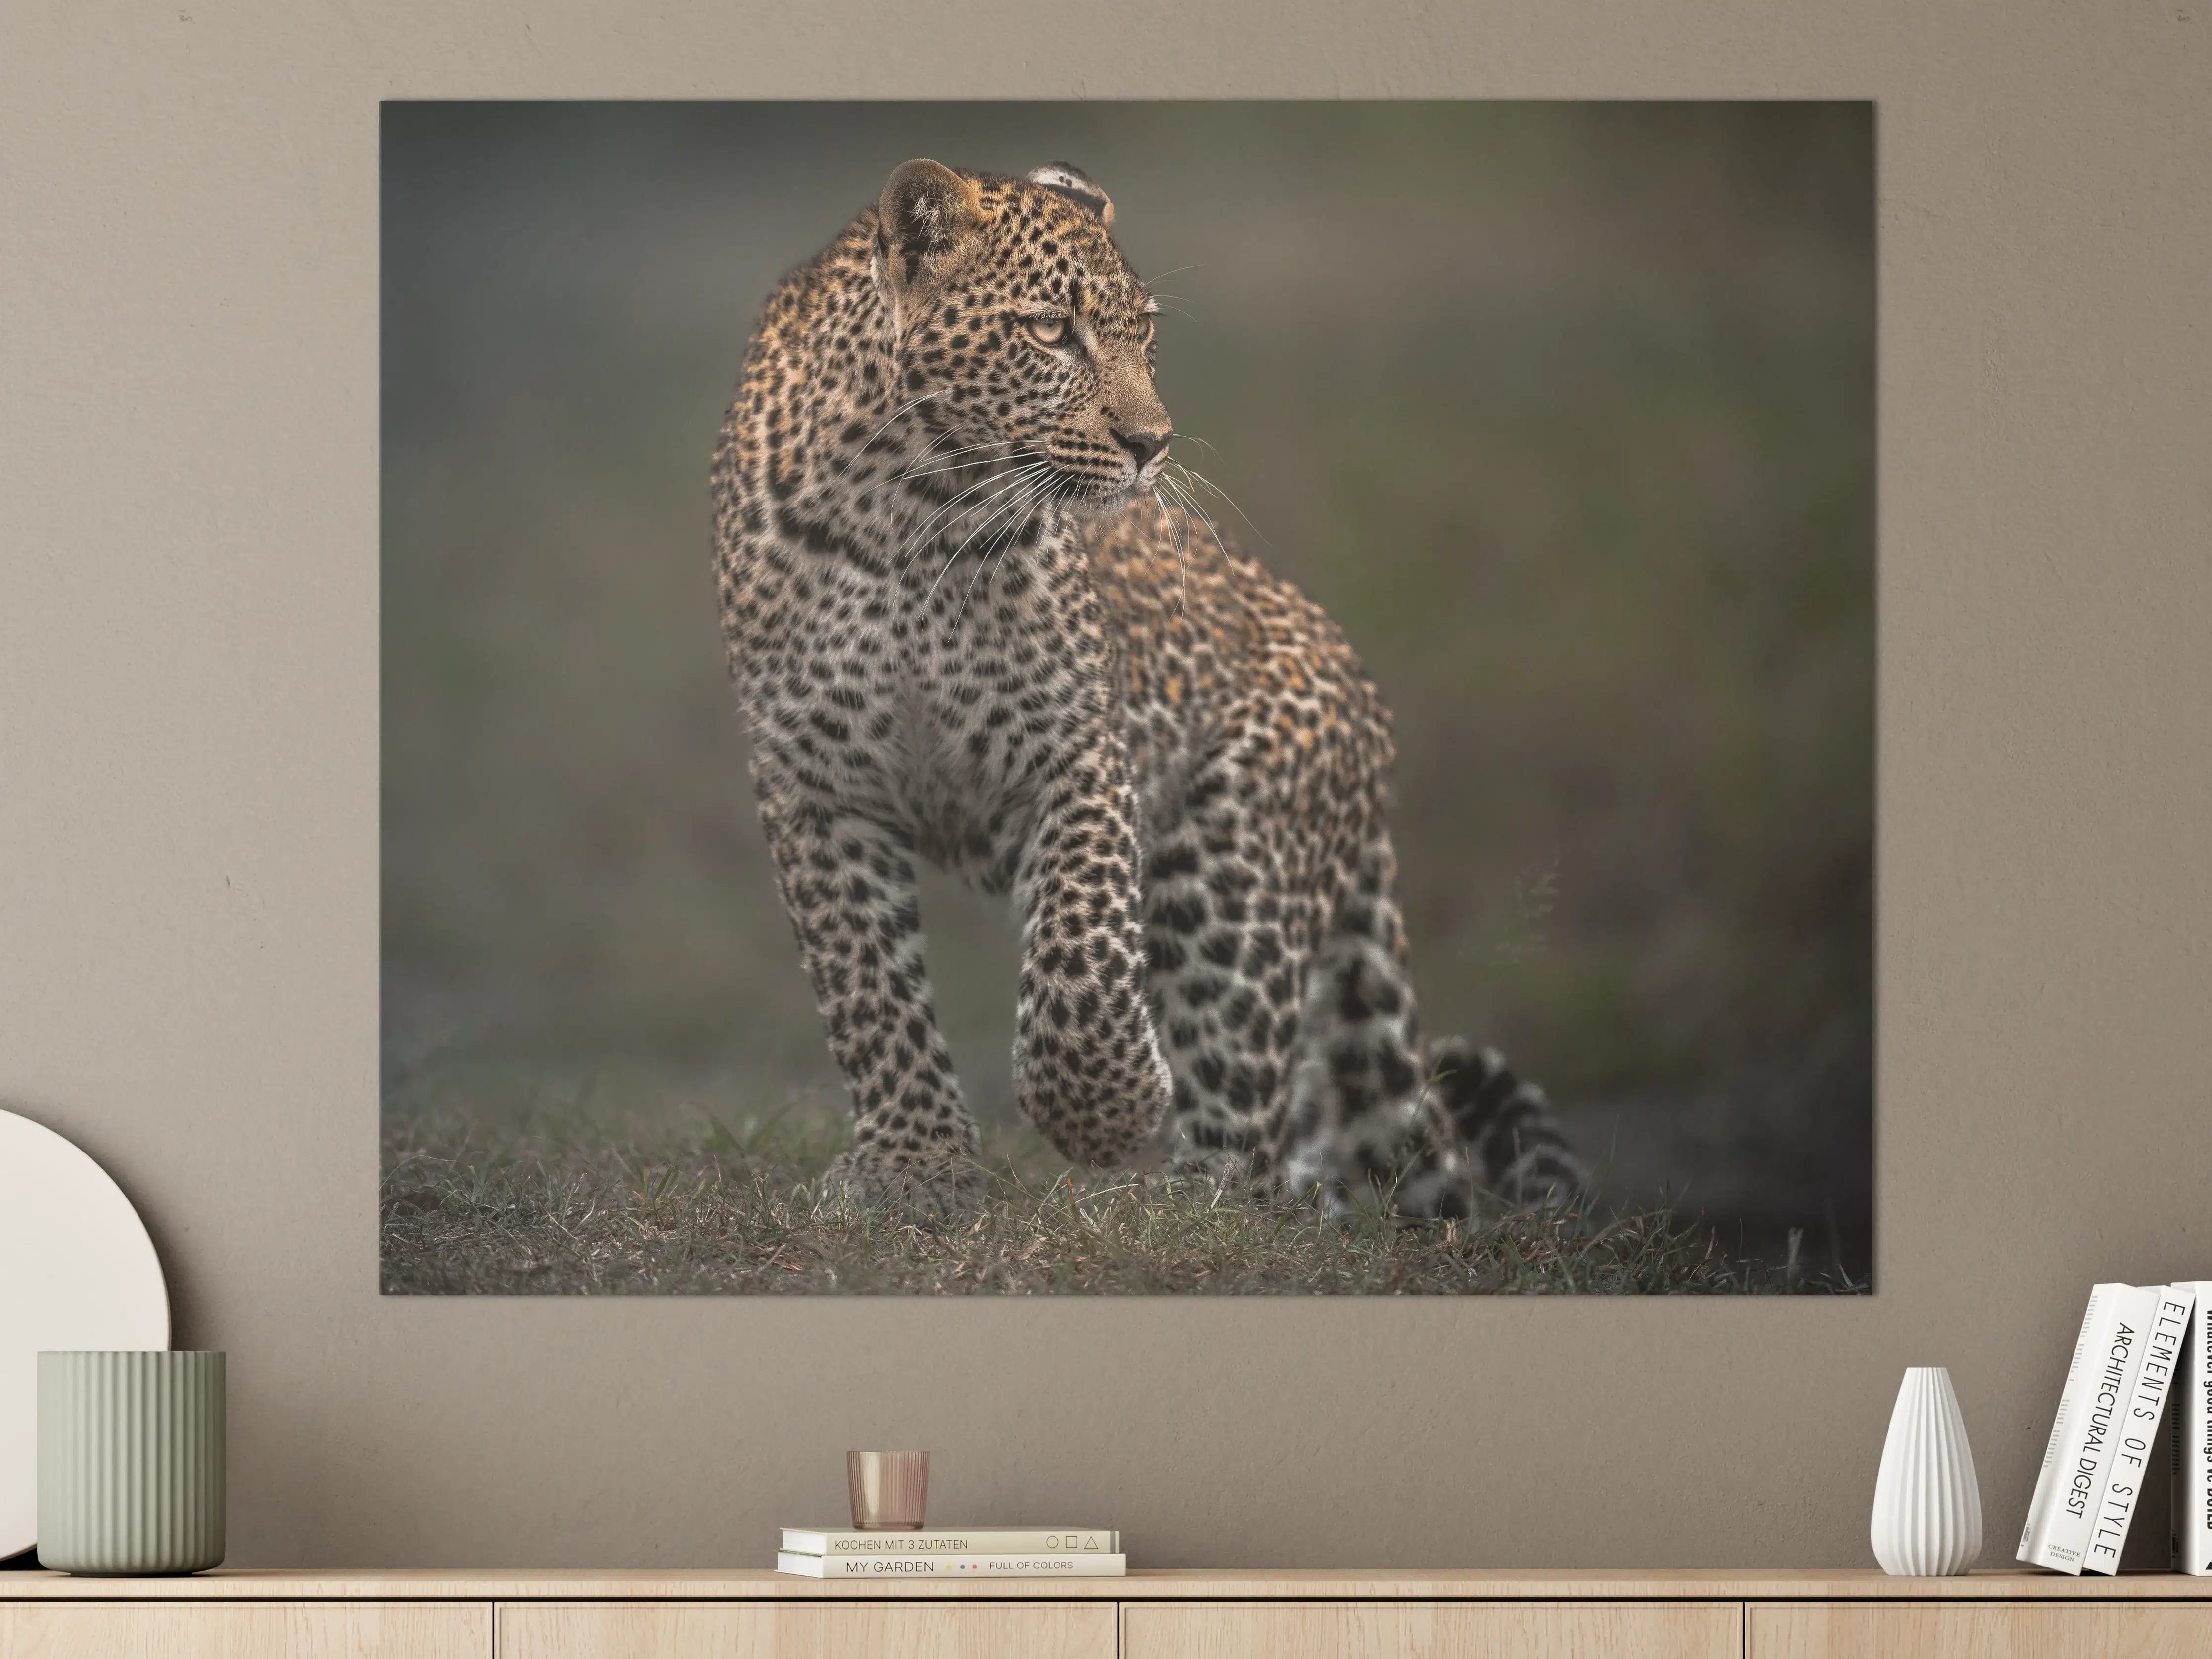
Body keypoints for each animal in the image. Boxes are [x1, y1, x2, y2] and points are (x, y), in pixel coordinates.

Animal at [710, 157, 1586, 1220]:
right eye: (1052, 330)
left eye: (1145, 335)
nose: (1153, 443)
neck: (908, 512)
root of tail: (1367, 711)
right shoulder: (813, 782)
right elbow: (867, 986)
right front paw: (913, 1165)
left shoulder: (1075, 745)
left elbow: (1083, 947)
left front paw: (1106, 1107)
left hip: (1231, 865)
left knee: (1247, 1125)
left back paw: (1183, 1207)